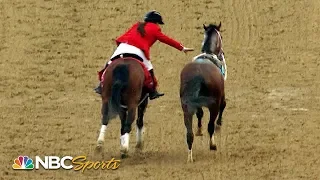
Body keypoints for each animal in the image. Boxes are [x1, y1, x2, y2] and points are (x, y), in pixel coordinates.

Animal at [180, 22, 228, 162]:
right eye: (221, 36)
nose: (222, 53)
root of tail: (199, 76)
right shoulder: (221, 96)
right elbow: (223, 106)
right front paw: (219, 124)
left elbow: (200, 114)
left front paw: (199, 130)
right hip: (213, 106)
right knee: (210, 126)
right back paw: (213, 145)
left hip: (186, 108)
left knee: (189, 134)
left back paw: (190, 157)